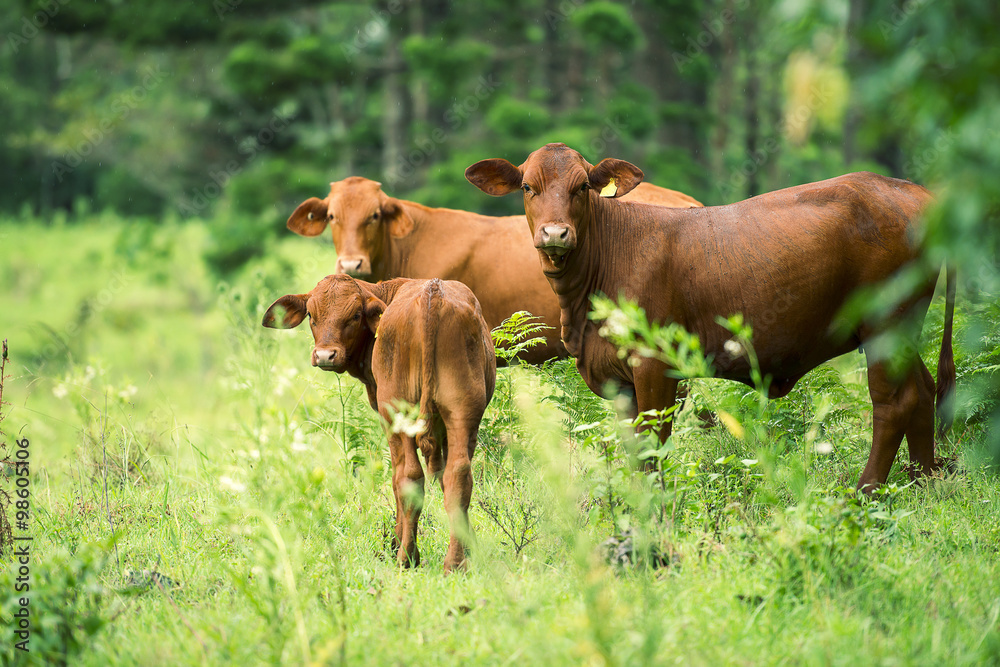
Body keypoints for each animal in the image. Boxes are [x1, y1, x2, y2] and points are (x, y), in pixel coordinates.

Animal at [262, 274, 496, 572]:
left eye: (355, 315)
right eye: (312, 315)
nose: (325, 355)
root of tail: (433, 292)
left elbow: (399, 480)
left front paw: (395, 542)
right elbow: (445, 479)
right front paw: (471, 544)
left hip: (399, 413)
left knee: (409, 477)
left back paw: (406, 556)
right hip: (462, 410)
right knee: (458, 476)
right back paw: (455, 563)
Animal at [464, 144, 956, 494]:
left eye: (583, 186)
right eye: (527, 187)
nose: (555, 234)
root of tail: (911, 190)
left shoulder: (655, 367)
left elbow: (652, 445)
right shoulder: (616, 377)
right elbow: (633, 449)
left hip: (887, 325)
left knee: (894, 402)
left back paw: (866, 492)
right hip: (901, 330)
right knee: (923, 390)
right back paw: (923, 481)